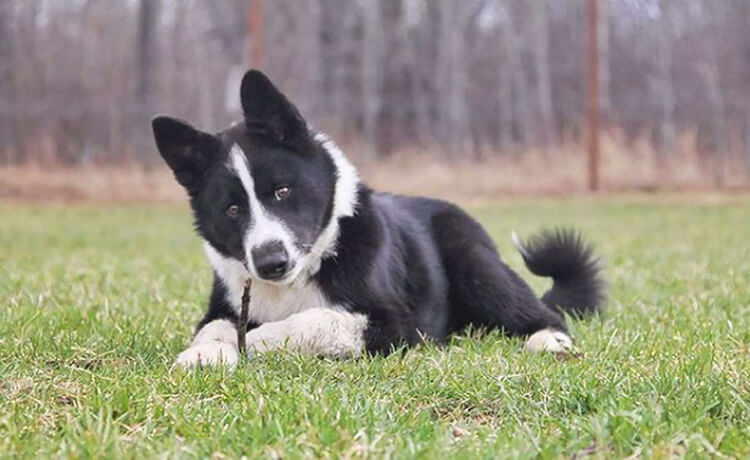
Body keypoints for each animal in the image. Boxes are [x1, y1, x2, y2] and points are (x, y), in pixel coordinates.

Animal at [153, 71, 604, 366]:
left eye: (282, 191)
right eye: (232, 209)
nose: (270, 263)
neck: (301, 276)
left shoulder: (396, 324)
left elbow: (314, 321)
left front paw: (258, 338)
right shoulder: (224, 306)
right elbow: (214, 328)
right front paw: (205, 352)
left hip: (474, 263)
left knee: (542, 313)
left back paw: (550, 341)